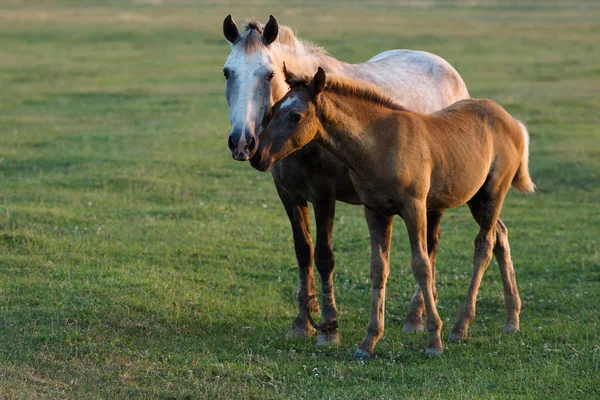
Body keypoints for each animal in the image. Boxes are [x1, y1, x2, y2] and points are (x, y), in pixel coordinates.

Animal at [223, 15, 472, 346]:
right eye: (228, 72)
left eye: (268, 74)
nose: (242, 143)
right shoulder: (289, 194)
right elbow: (303, 253)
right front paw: (302, 322)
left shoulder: (323, 195)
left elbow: (324, 257)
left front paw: (329, 328)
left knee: (429, 249)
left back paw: (415, 317)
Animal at [250, 67, 536, 358]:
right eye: (273, 109)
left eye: (296, 116)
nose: (257, 156)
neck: (380, 144)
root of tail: (513, 122)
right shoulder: (375, 211)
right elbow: (379, 268)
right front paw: (368, 341)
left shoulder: (414, 207)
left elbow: (422, 265)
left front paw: (434, 340)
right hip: (475, 198)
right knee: (500, 235)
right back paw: (512, 319)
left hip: (492, 193)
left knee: (484, 244)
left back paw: (460, 327)